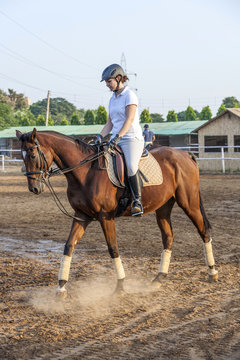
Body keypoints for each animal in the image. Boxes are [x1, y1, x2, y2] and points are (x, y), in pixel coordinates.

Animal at [15, 128, 218, 296]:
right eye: (22, 156)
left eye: (32, 155)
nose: (34, 188)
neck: (85, 172)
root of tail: (185, 154)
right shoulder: (82, 215)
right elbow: (69, 246)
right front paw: (61, 287)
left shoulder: (105, 217)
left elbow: (113, 248)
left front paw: (120, 286)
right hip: (163, 207)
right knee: (168, 237)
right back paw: (159, 278)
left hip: (189, 203)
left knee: (203, 231)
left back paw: (212, 272)